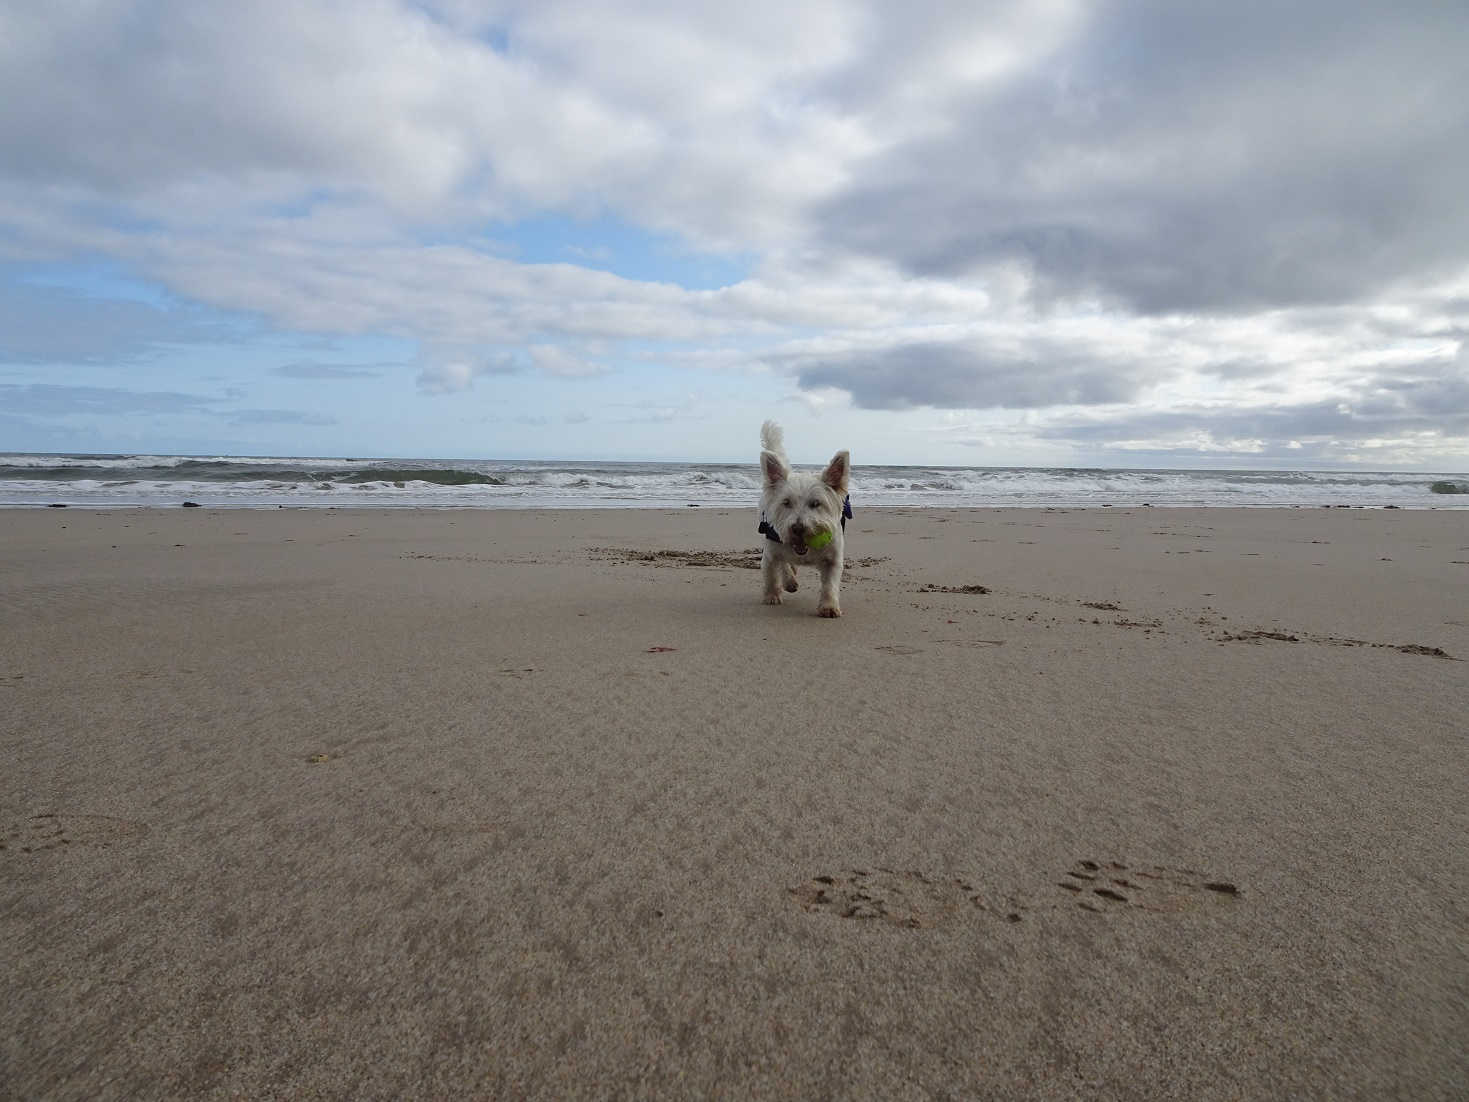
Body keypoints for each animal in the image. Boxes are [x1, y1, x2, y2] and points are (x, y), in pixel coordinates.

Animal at [758, 420, 852, 617]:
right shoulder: (770, 553)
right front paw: (772, 595)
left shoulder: (833, 559)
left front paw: (829, 606)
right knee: (784, 564)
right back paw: (789, 581)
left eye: (816, 503)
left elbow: (830, 584)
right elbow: (771, 575)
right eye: (786, 502)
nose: (798, 528)